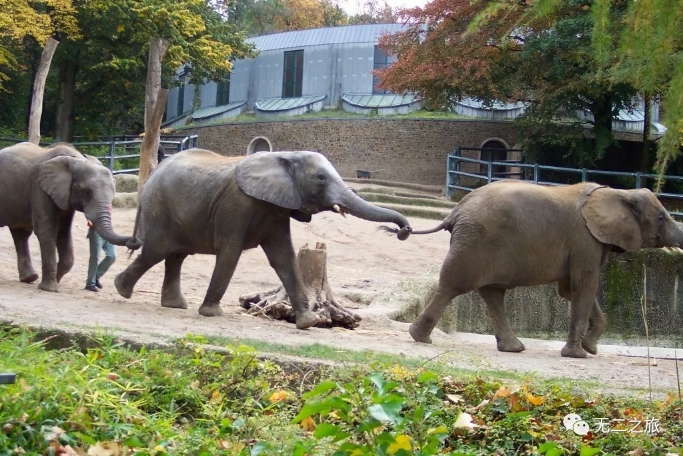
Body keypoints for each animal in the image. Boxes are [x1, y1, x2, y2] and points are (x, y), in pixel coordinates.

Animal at [0, 142, 142, 292]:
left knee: (21, 234)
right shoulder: (39, 188)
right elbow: (46, 231)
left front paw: (56, 281)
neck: (78, 160)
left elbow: (63, 232)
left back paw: (29, 278)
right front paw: (50, 289)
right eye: (86, 192)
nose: (134, 241)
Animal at [114, 148, 412, 330]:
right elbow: (230, 251)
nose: (403, 231)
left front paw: (309, 323)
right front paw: (212, 314)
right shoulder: (236, 204)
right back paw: (122, 289)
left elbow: (285, 257)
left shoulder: (277, 209)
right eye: (320, 178)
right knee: (156, 250)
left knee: (175, 255)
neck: (285, 155)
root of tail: (151, 176)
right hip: (160, 209)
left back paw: (174, 305)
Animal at [384, 180, 683, 358]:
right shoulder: (585, 240)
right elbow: (583, 287)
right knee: (454, 285)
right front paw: (578, 355)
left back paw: (512, 348)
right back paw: (420, 338)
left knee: (492, 293)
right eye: (660, 217)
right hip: (475, 241)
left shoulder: (592, 243)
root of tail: (456, 210)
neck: (617, 192)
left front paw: (590, 348)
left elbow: (570, 290)